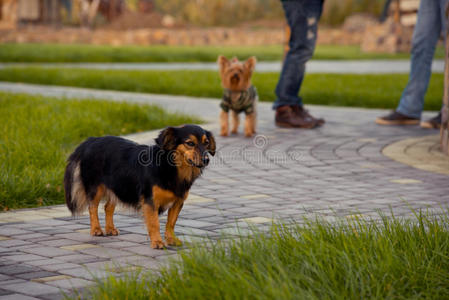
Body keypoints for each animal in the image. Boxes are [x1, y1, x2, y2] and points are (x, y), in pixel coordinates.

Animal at [64, 124, 215, 248]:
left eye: (206, 143)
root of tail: (91, 140)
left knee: (108, 207)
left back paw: (110, 229)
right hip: (96, 188)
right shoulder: (150, 201)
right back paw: (96, 229)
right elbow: (154, 223)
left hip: (118, 185)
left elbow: (171, 223)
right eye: (190, 143)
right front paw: (157, 242)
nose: (206, 160)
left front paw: (171, 239)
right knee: (92, 208)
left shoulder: (178, 202)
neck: (172, 167)